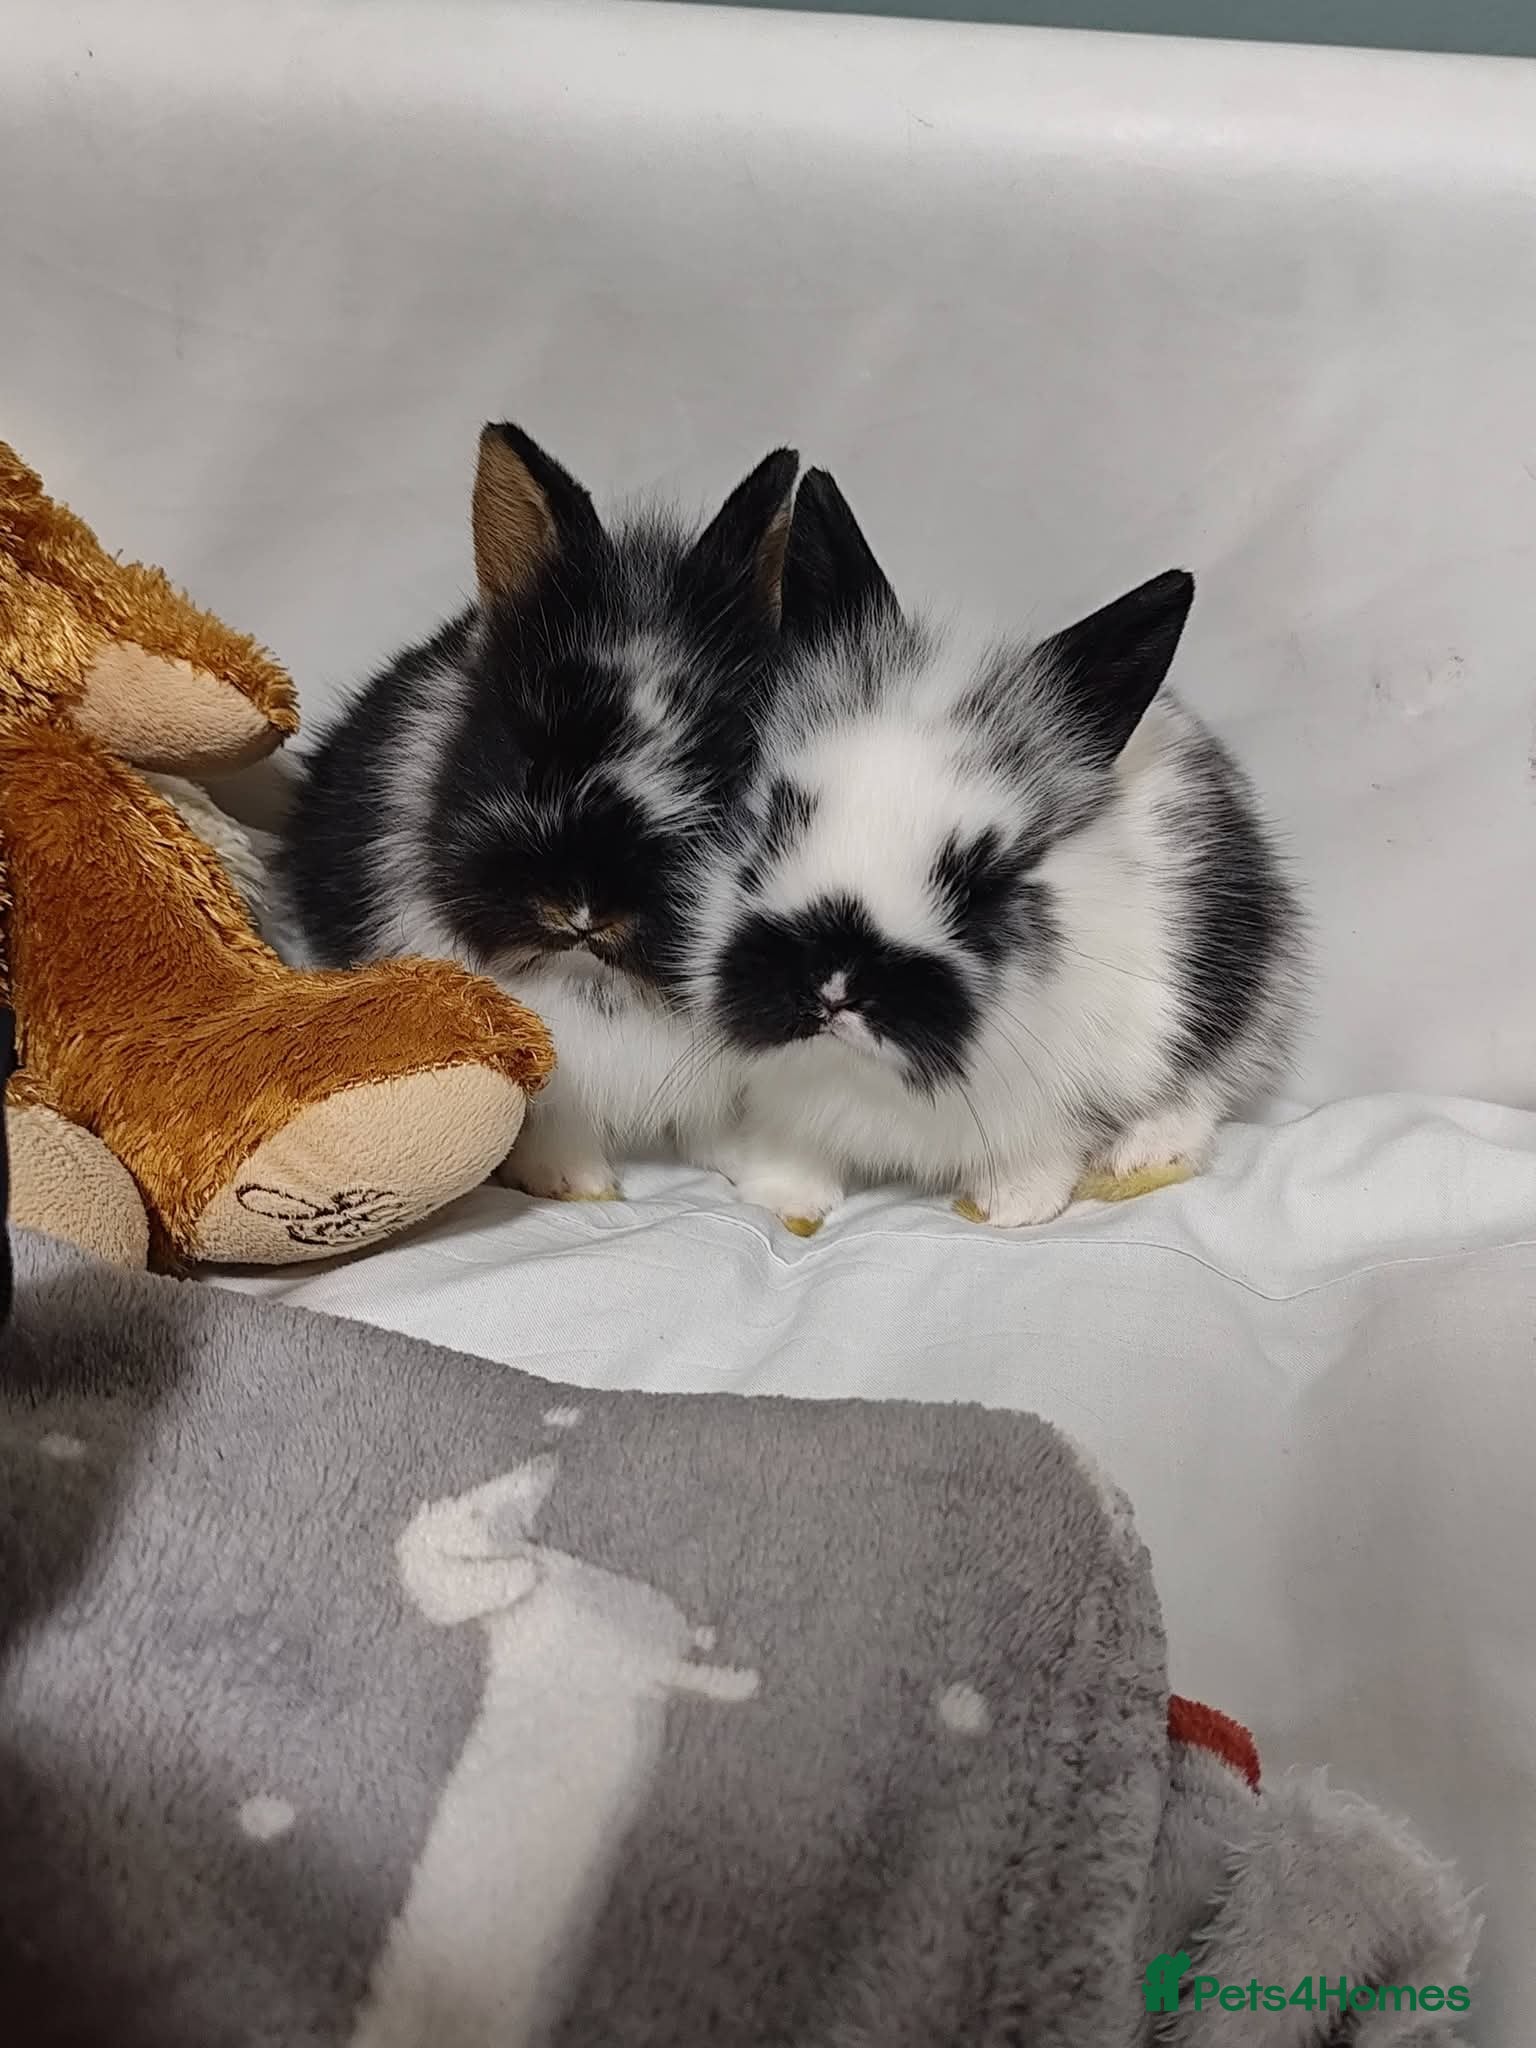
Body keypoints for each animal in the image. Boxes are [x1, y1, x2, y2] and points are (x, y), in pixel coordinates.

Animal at [284, 424, 798, 1201]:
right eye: (531, 767)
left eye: (712, 781)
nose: (584, 911)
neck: (595, 981)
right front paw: (577, 1183)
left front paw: (757, 1173)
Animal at [690, 468, 1305, 1231]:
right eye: (775, 823)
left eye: (984, 881)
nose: (834, 986)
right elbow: (792, 1148)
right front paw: (781, 1197)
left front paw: (1016, 1205)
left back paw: (1143, 1153)